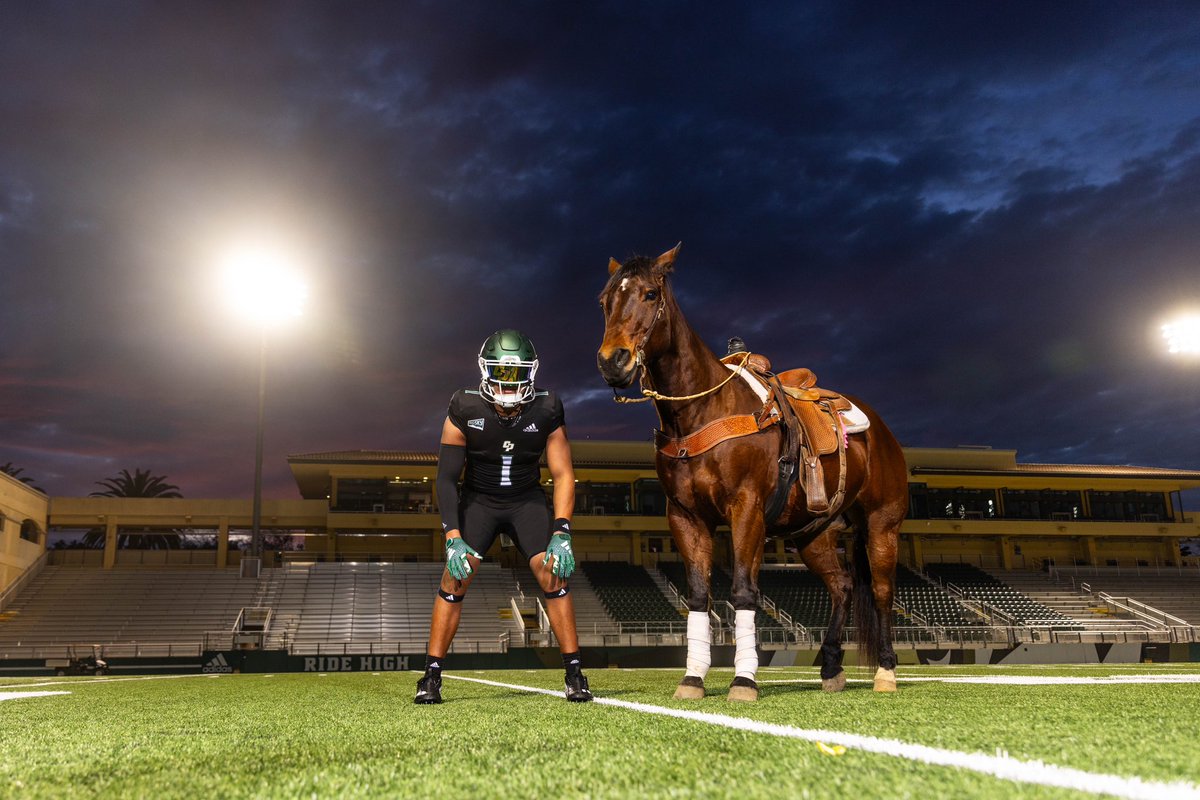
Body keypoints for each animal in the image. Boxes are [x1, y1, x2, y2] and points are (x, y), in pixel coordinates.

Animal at [595, 244, 902, 700]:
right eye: (605, 301)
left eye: (650, 294)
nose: (612, 361)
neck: (702, 411)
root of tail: (881, 429)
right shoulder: (685, 516)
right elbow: (699, 595)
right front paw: (693, 678)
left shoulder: (746, 508)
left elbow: (743, 590)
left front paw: (743, 678)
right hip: (812, 534)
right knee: (843, 586)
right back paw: (830, 665)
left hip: (882, 524)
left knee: (881, 591)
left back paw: (886, 670)